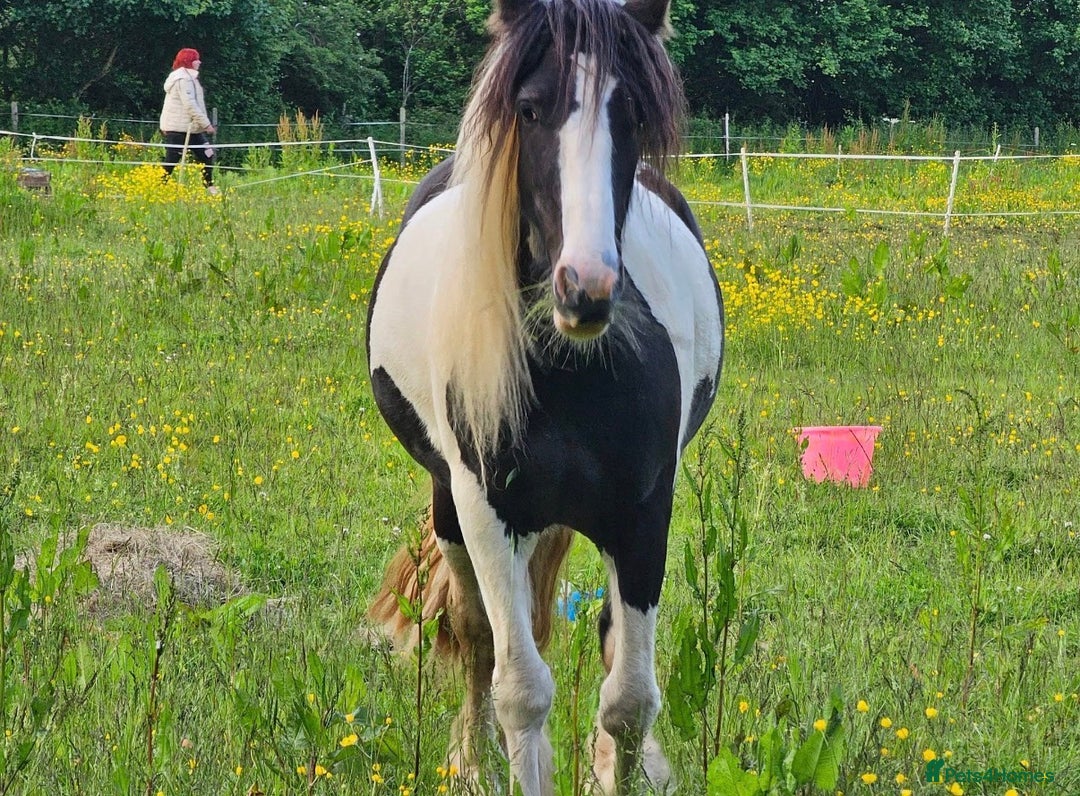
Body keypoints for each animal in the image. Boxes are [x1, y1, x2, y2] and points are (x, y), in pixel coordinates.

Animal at [365, 0, 724, 792]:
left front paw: (620, 768)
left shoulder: (643, 513)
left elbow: (628, 698)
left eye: (633, 115)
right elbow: (519, 688)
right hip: (450, 507)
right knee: (478, 638)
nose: (585, 287)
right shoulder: (488, 510)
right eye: (529, 110)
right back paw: (471, 761)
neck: (571, 373)